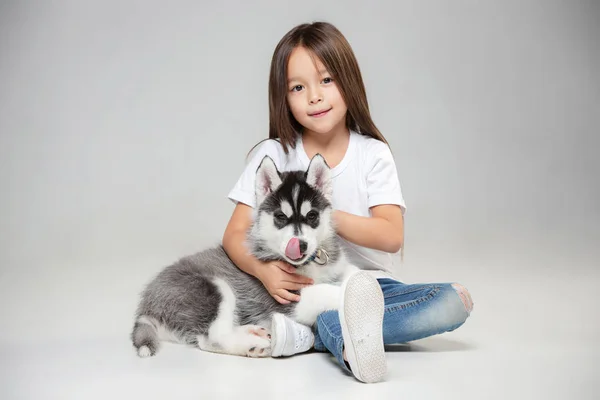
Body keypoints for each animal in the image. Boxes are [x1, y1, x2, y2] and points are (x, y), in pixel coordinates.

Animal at [130, 155, 356, 358]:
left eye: (312, 216)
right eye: (280, 217)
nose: (300, 245)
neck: (311, 264)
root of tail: (146, 306)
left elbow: (351, 273)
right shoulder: (287, 299)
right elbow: (327, 291)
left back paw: (253, 331)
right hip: (213, 289)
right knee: (211, 338)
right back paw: (253, 345)